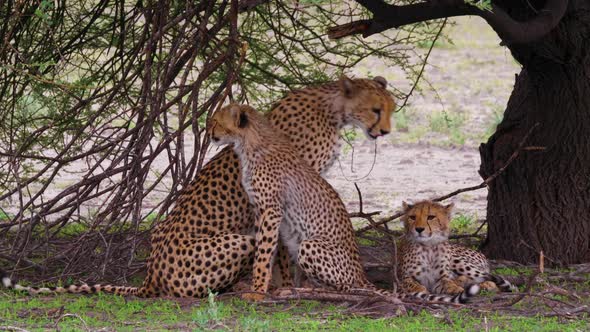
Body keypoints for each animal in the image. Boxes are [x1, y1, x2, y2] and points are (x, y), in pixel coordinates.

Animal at [1, 76, 398, 296]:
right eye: (376, 109)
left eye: (390, 109)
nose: (385, 131)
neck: (332, 108)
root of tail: (152, 275)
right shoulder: (283, 197)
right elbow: (280, 251)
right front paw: (281, 286)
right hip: (236, 241)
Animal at [208, 104, 480, 304]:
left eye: (216, 121)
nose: (209, 133)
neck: (249, 144)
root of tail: (361, 274)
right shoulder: (264, 212)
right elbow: (272, 253)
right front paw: (271, 285)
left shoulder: (271, 211)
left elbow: (263, 254)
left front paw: (256, 291)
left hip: (311, 245)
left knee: (345, 288)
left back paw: (304, 292)